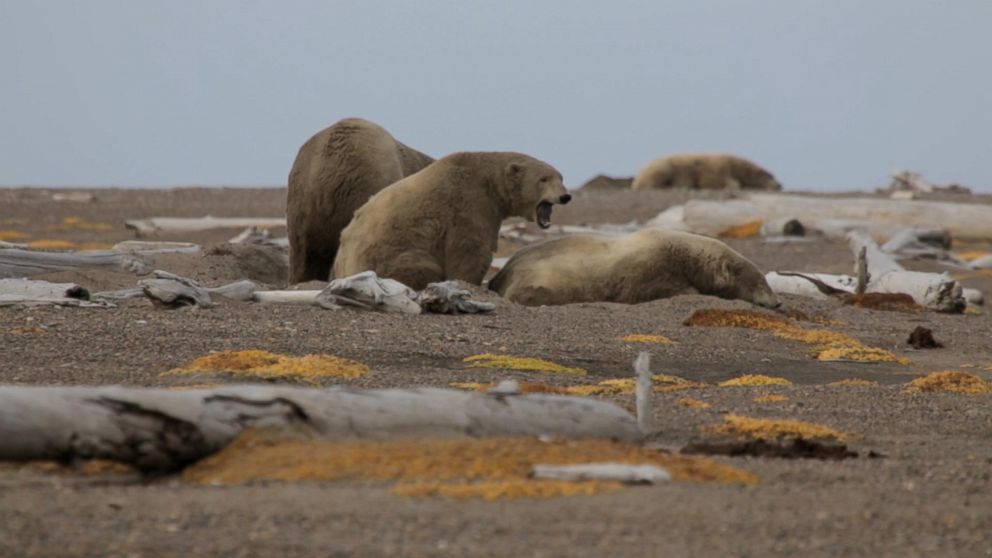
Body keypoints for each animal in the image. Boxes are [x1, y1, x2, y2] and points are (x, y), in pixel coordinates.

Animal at [332, 153, 568, 294]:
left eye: (560, 177)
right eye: (543, 179)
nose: (565, 196)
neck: (489, 182)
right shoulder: (470, 204)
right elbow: (470, 251)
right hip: (391, 253)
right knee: (419, 265)